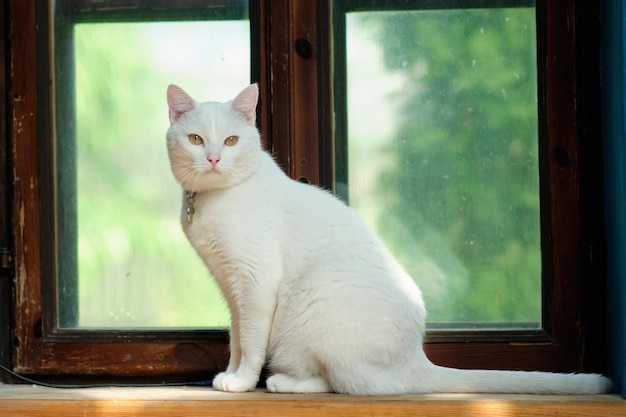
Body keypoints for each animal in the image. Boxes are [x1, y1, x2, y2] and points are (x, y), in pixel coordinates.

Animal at [165, 82, 608, 394]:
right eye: (196, 140)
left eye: (232, 141)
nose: (213, 158)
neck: (214, 202)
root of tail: (416, 357)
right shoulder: (232, 289)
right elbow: (237, 338)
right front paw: (230, 374)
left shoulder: (256, 283)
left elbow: (252, 342)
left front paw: (242, 382)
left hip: (315, 293)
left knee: (345, 382)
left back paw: (281, 382)